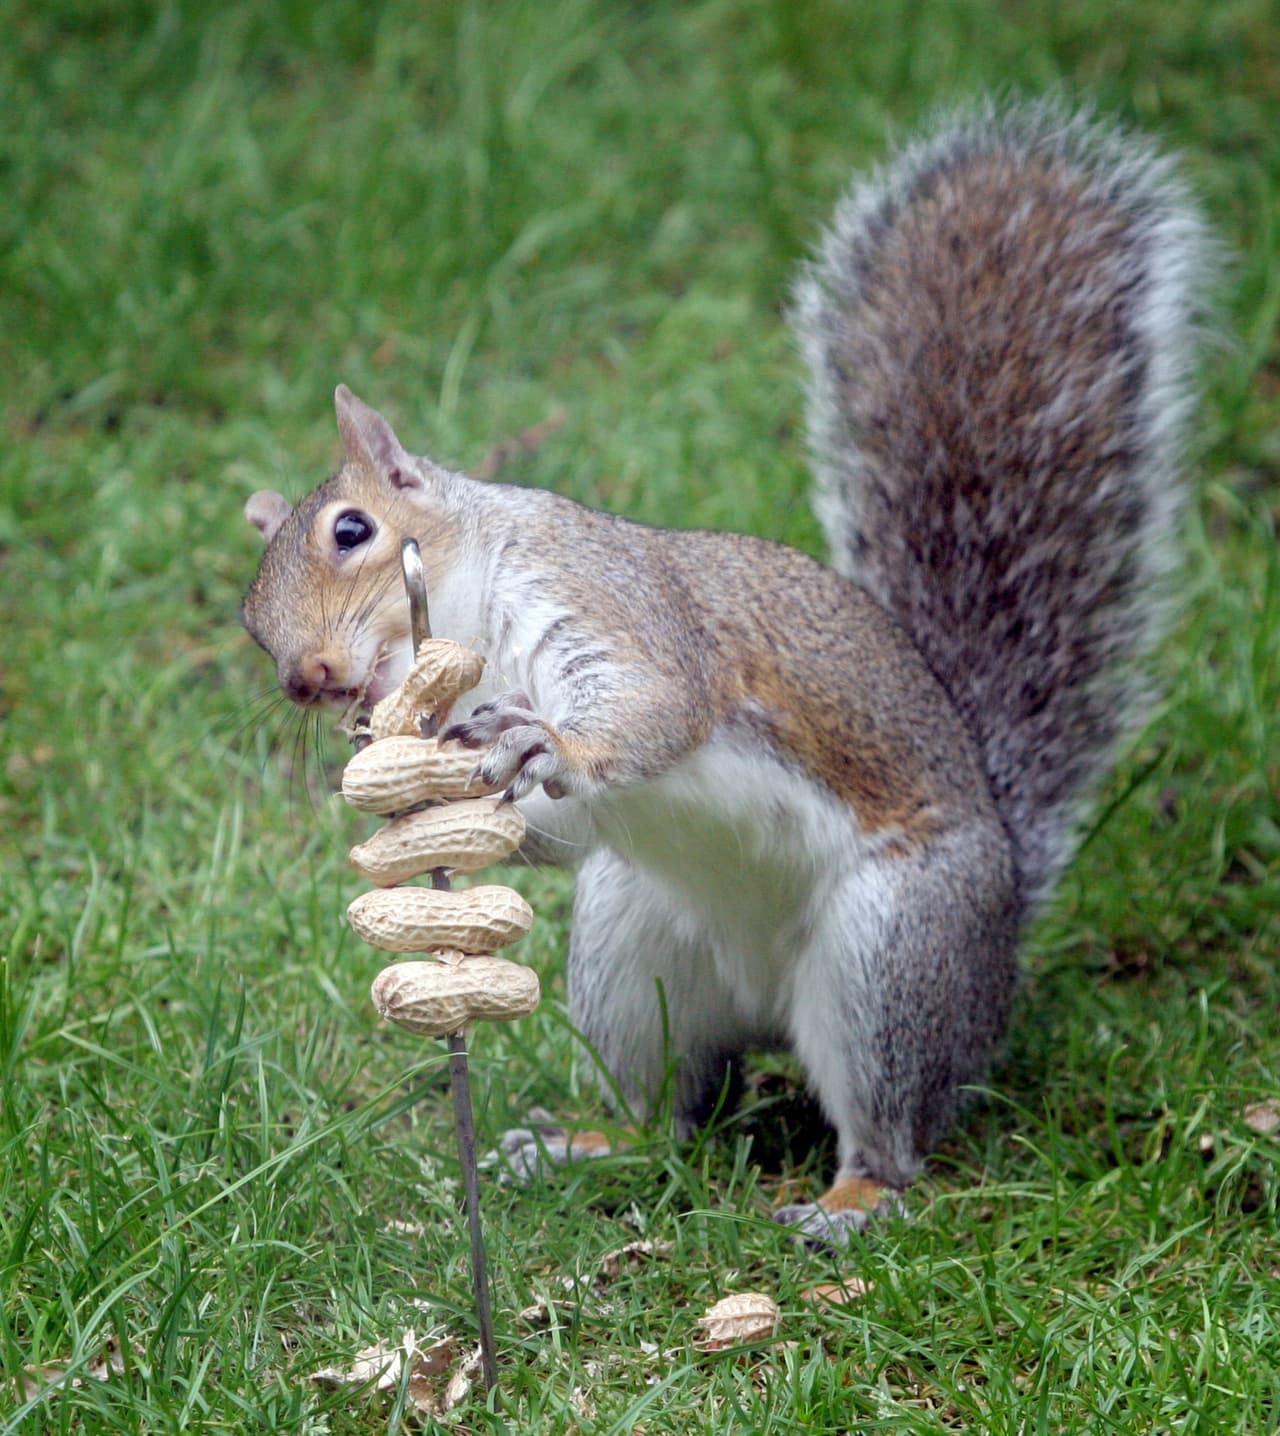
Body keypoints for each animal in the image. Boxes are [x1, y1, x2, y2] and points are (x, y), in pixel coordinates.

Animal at [242, 100, 1209, 1246]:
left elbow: (659, 703)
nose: (306, 679)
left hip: (890, 953)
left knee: (888, 1124)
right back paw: (582, 1146)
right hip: (631, 950)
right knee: (674, 1109)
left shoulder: (614, 601)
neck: (474, 632)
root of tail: (1005, 919)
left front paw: (544, 737)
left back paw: (849, 1202)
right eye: (251, 626)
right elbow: (550, 831)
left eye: (353, 530)